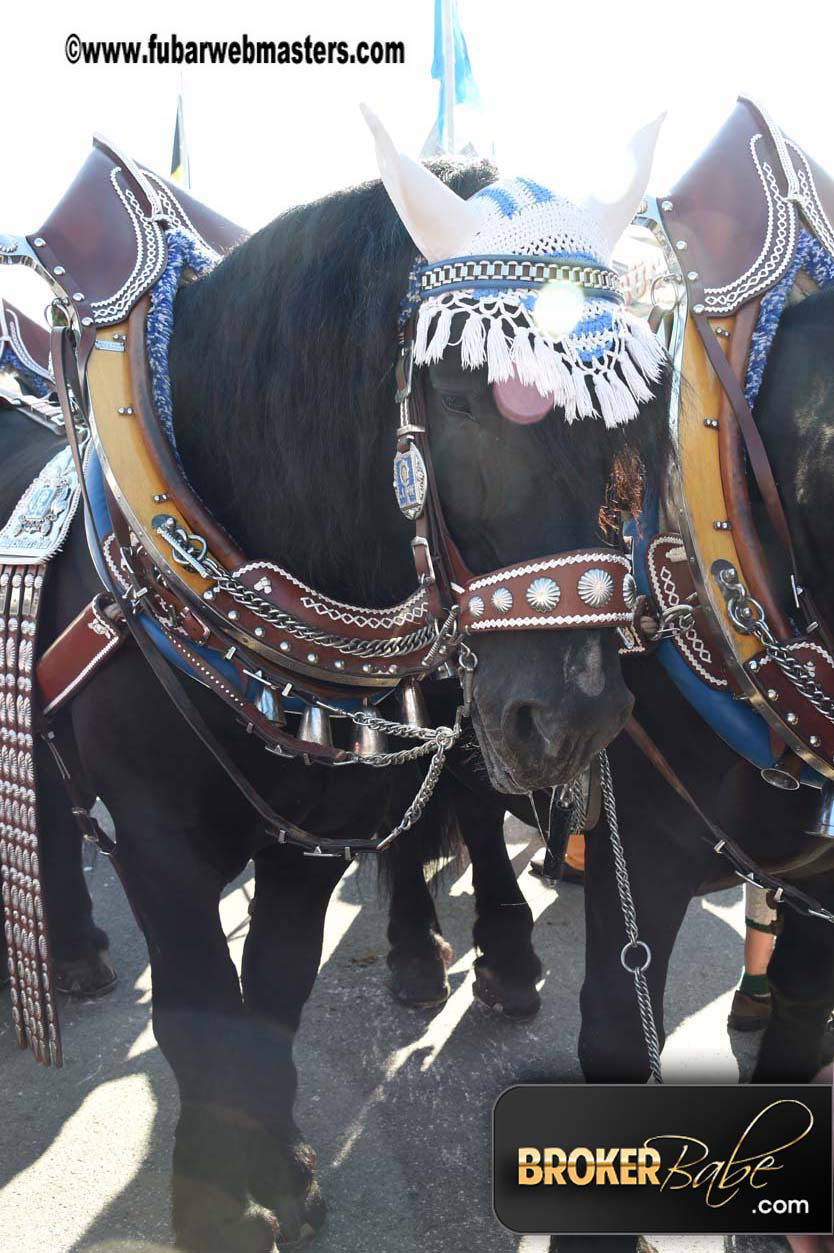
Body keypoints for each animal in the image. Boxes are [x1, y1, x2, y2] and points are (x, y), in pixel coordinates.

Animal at [0, 159, 661, 1253]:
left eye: (624, 426)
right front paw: (217, 1201)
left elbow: (272, 996)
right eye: (467, 397)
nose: (575, 717)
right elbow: (196, 1013)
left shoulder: (311, 837)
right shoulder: (153, 840)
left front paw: (280, 1170)